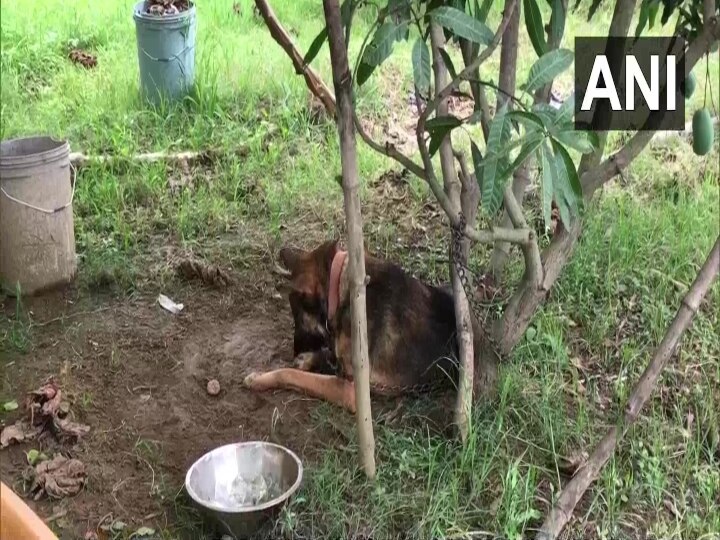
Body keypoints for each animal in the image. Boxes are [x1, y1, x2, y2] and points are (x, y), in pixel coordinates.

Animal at [242, 238, 496, 412]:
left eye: (297, 318)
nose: (295, 351)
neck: (339, 286)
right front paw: (308, 359)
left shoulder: (351, 390)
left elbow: (291, 374)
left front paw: (260, 378)